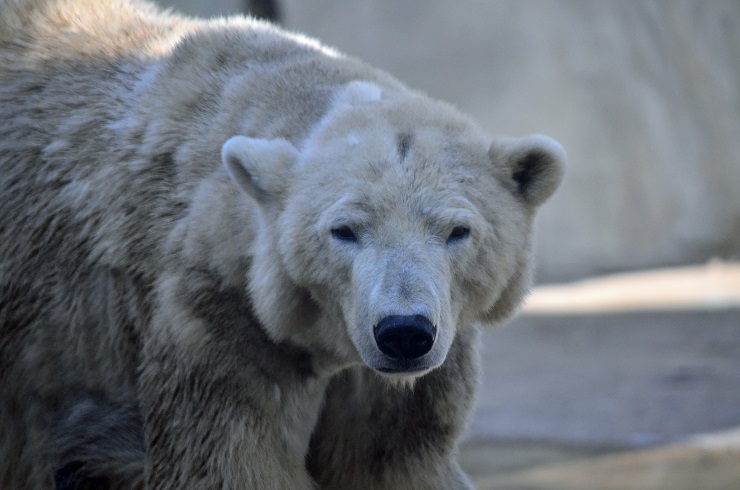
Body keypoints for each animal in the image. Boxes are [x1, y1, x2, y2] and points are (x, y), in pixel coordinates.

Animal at [0, 1, 564, 488]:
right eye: (344, 230)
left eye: (456, 230)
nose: (404, 333)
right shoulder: (218, 325)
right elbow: (228, 466)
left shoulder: (401, 377)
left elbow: (390, 464)